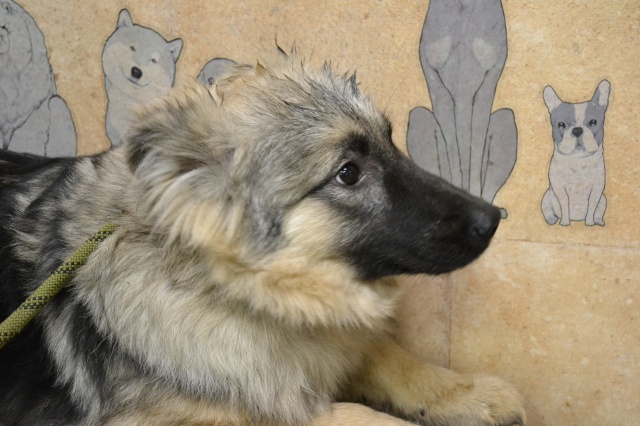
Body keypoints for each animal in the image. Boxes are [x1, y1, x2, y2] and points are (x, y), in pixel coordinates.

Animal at [0, 50, 525, 425]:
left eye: (390, 142)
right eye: (348, 173)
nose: (492, 218)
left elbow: (389, 356)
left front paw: (464, 392)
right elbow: (350, 414)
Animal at [406, 0, 517, 218]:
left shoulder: (489, 78)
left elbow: (475, 151)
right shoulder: (435, 80)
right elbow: (453, 148)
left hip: (506, 117)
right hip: (417, 115)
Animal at [541, 80, 610, 226]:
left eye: (593, 122)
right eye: (561, 125)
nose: (577, 130)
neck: (578, 160)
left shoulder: (597, 188)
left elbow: (592, 206)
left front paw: (589, 222)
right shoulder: (559, 187)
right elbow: (564, 203)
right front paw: (565, 222)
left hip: (603, 199)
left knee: (598, 210)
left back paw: (598, 221)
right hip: (546, 197)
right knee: (547, 209)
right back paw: (551, 219)